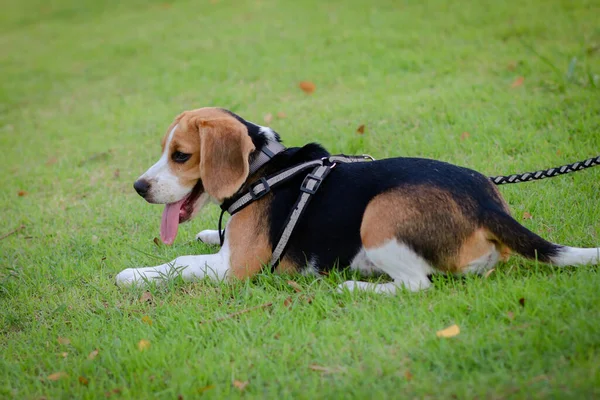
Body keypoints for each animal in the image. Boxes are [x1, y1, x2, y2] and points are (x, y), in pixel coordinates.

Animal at [115, 108, 596, 292]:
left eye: (180, 155)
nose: (139, 187)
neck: (262, 169)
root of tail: (487, 204)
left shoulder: (234, 268)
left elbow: (179, 263)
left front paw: (133, 274)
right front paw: (203, 233)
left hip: (377, 214)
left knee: (417, 285)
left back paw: (354, 285)